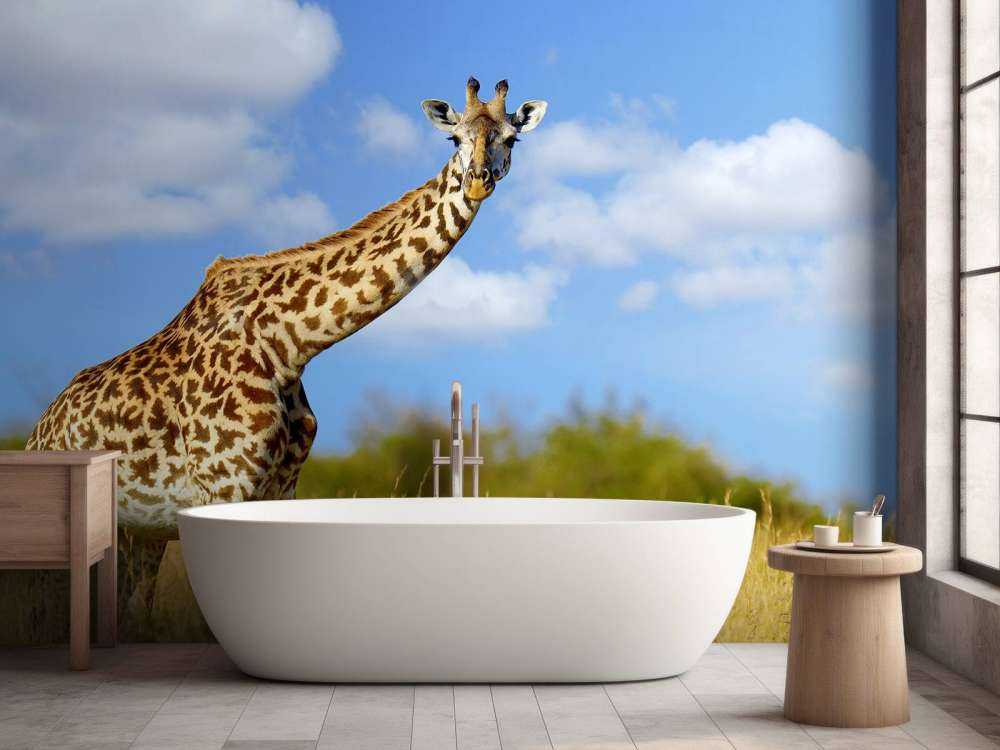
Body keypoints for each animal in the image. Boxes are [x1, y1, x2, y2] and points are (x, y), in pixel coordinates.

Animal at [26, 77, 548, 529]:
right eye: (453, 138)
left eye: (512, 140)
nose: (478, 180)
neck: (287, 345)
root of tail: (38, 432)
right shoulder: (222, 484)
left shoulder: (281, 486)